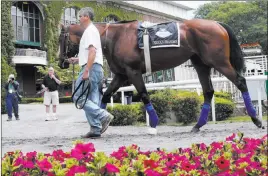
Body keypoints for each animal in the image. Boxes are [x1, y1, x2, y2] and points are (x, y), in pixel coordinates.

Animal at [58, 18, 262, 132]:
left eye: (61, 39)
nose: (61, 62)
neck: (114, 37)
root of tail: (216, 24)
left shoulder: (132, 72)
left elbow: (144, 95)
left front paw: (154, 122)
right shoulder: (121, 75)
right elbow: (106, 96)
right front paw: (99, 125)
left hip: (219, 62)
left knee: (240, 82)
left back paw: (256, 119)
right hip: (201, 64)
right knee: (208, 91)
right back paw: (197, 125)